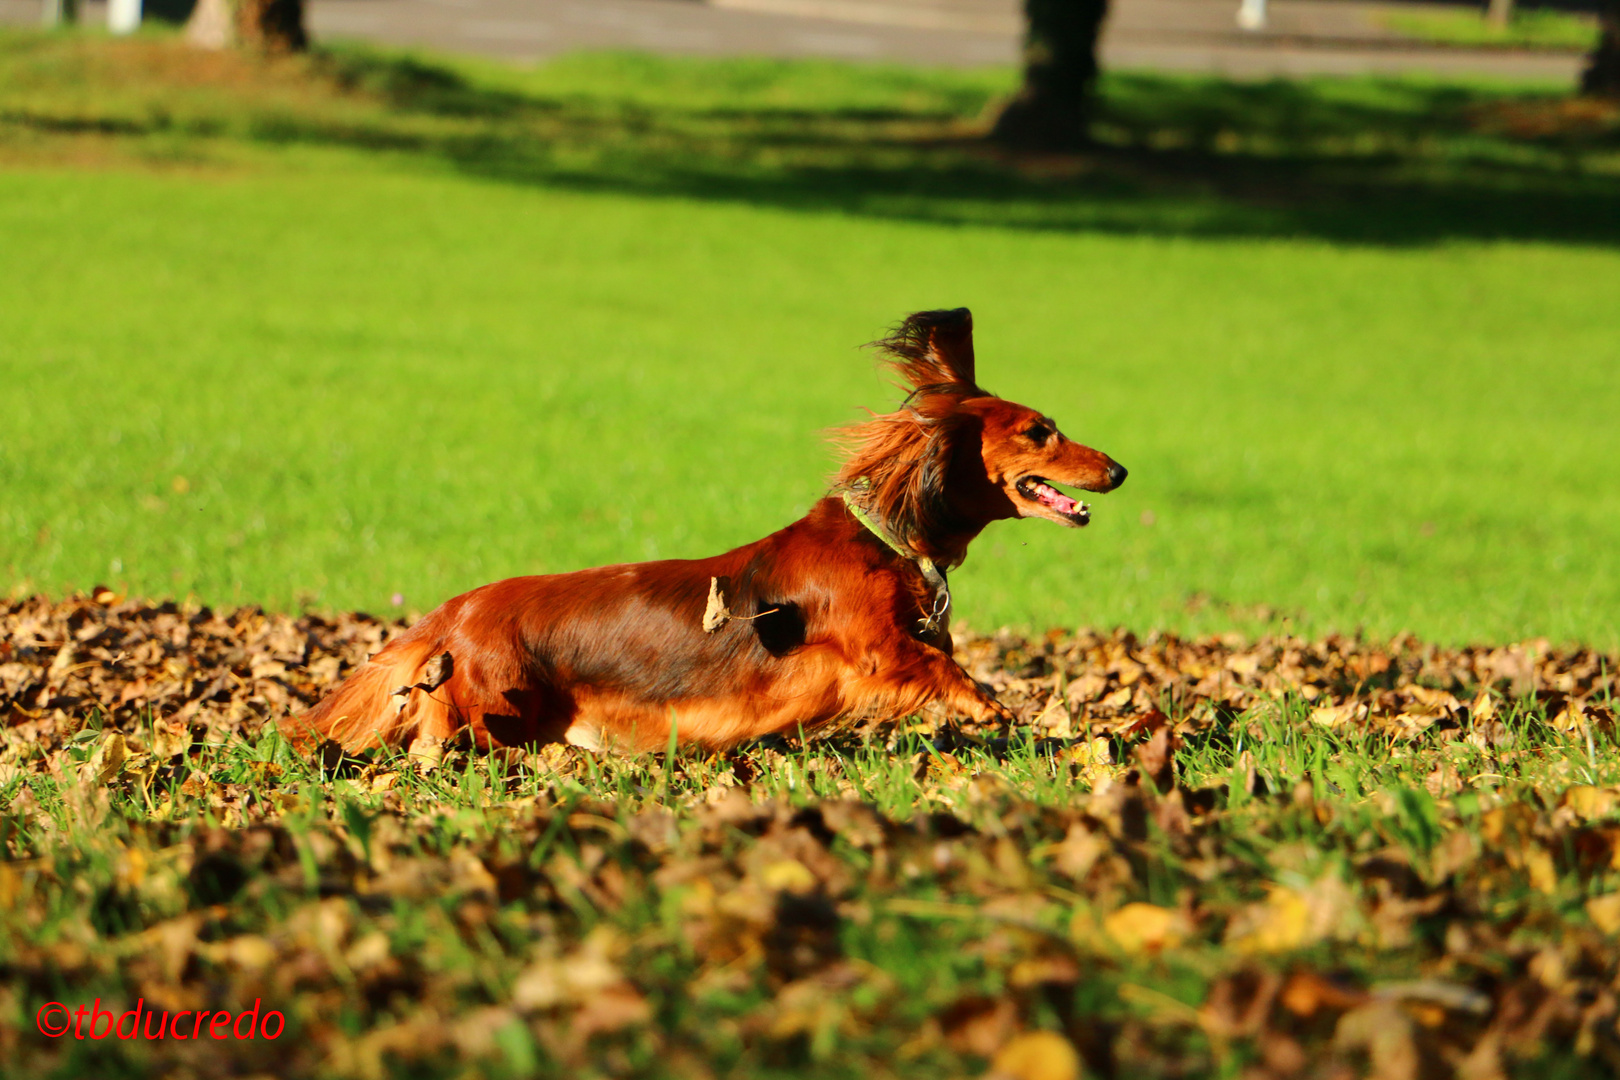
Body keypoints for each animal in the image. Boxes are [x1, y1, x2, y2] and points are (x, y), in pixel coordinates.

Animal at [285, 307, 1121, 757]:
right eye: (1040, 432)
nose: (1118, 470)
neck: (886, 539)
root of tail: (449, 615)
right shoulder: (873, 649)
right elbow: (942, 668)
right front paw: (997, 711)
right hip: (496, 714)